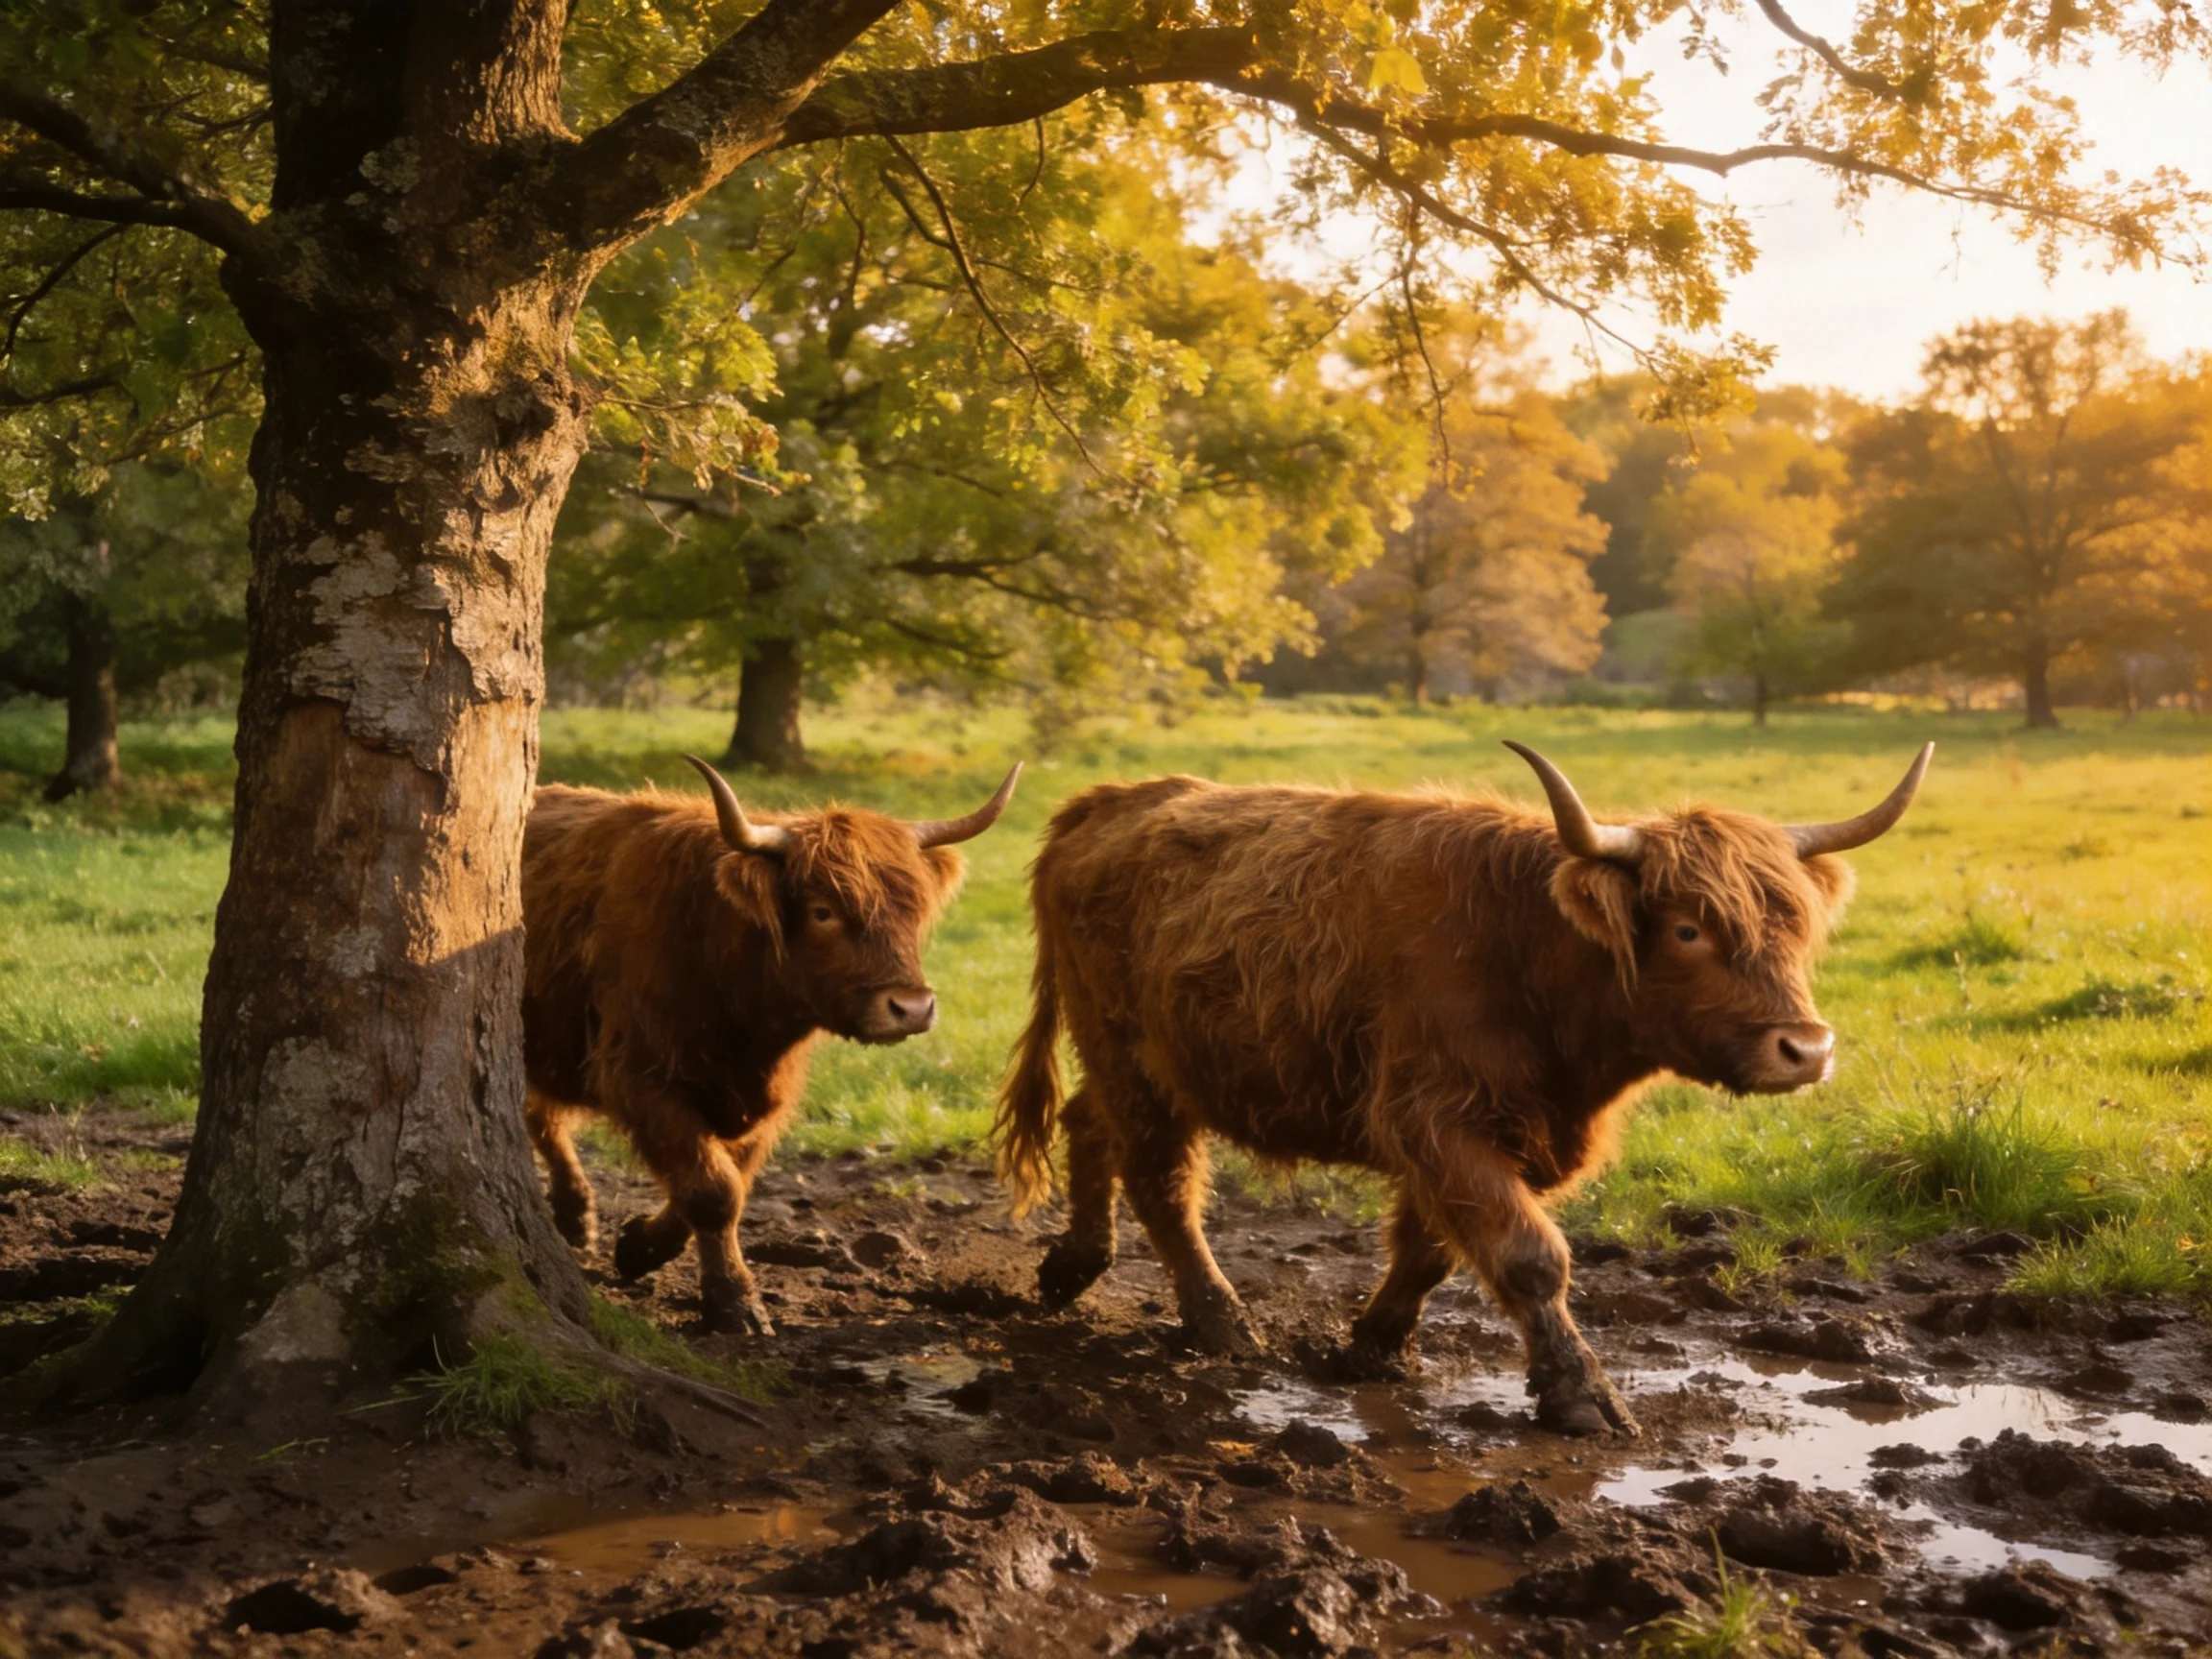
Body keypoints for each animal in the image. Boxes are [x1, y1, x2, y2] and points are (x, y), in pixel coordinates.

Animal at [523, 756, 1019, 1333]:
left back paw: (576, 1217)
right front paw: (733, 1301)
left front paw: (640, 1247)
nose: (912, 1008)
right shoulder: (639, 1075)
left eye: (914, 909)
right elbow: (712, 1190)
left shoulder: (768, 1097)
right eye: (824, 911)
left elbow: (726, 1179)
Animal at [994, 741, 1932, 1435]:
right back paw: (1220, 1323)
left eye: (1796, 926)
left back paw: (1075, 1265)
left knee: (1090, 1124)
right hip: (1129, 1052)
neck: (1530, 951)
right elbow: (1528, 1256)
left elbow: (1431, 1248)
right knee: (1163, 1181)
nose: (1805, 1049)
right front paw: (1581, 1396)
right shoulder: (1436, 1118)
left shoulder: (1490, 1131)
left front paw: (1372, 1346)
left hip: (1145, 1062)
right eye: (1689, 929)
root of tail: (1111, 799)